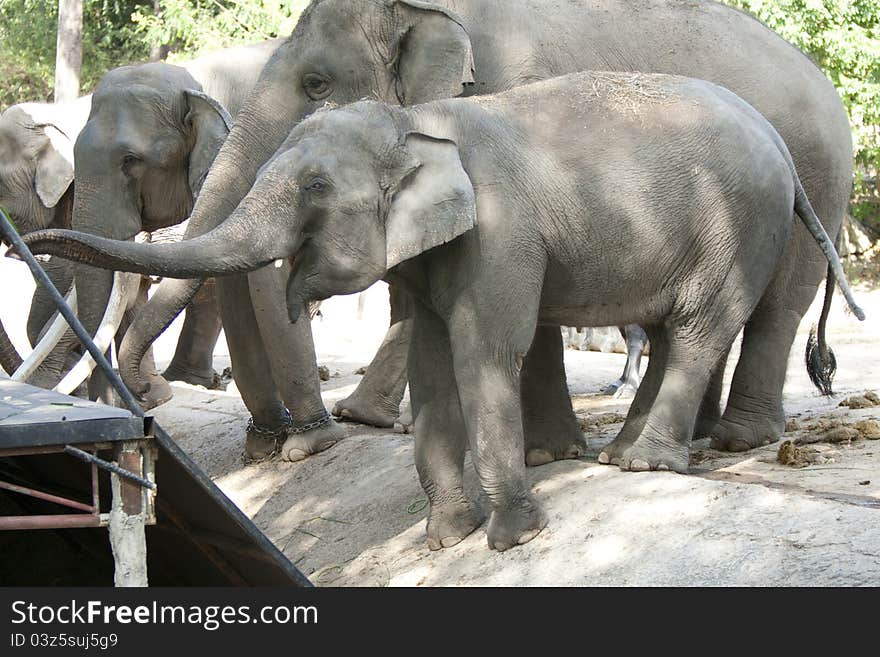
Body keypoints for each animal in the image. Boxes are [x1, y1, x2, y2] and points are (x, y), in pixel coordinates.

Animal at [18, 0, 852, 462]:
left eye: (317, 83)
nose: (146, 401)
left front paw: (349, 424)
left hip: (814, 181)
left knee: (772, 306)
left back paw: (736, 438)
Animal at [22, 72, 868, 548]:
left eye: (316, 189)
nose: (27, 236)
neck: (417, 121)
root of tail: (783, 150)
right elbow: (434, 366)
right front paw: (444, 539)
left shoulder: (499, 230)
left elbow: (484, 351)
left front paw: (513, 537)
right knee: (671, 330)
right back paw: (622, 453)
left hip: (740, 228)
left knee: (697, 328)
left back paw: (643, 462)